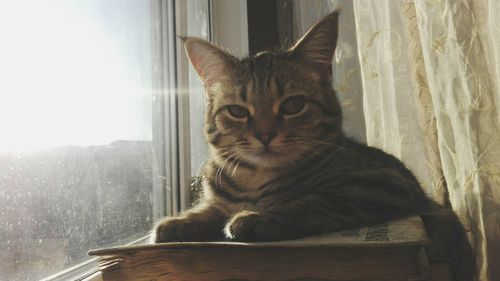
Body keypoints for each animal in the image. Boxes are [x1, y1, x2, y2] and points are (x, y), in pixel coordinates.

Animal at [154, 11, 474, 280]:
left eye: (293, 105)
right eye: (237, 111)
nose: (265, 135)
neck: (255, 180)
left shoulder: (382, 182)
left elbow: (313, 201)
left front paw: (255, 218)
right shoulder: (218, 197)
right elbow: (210, 208)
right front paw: (178, 222)